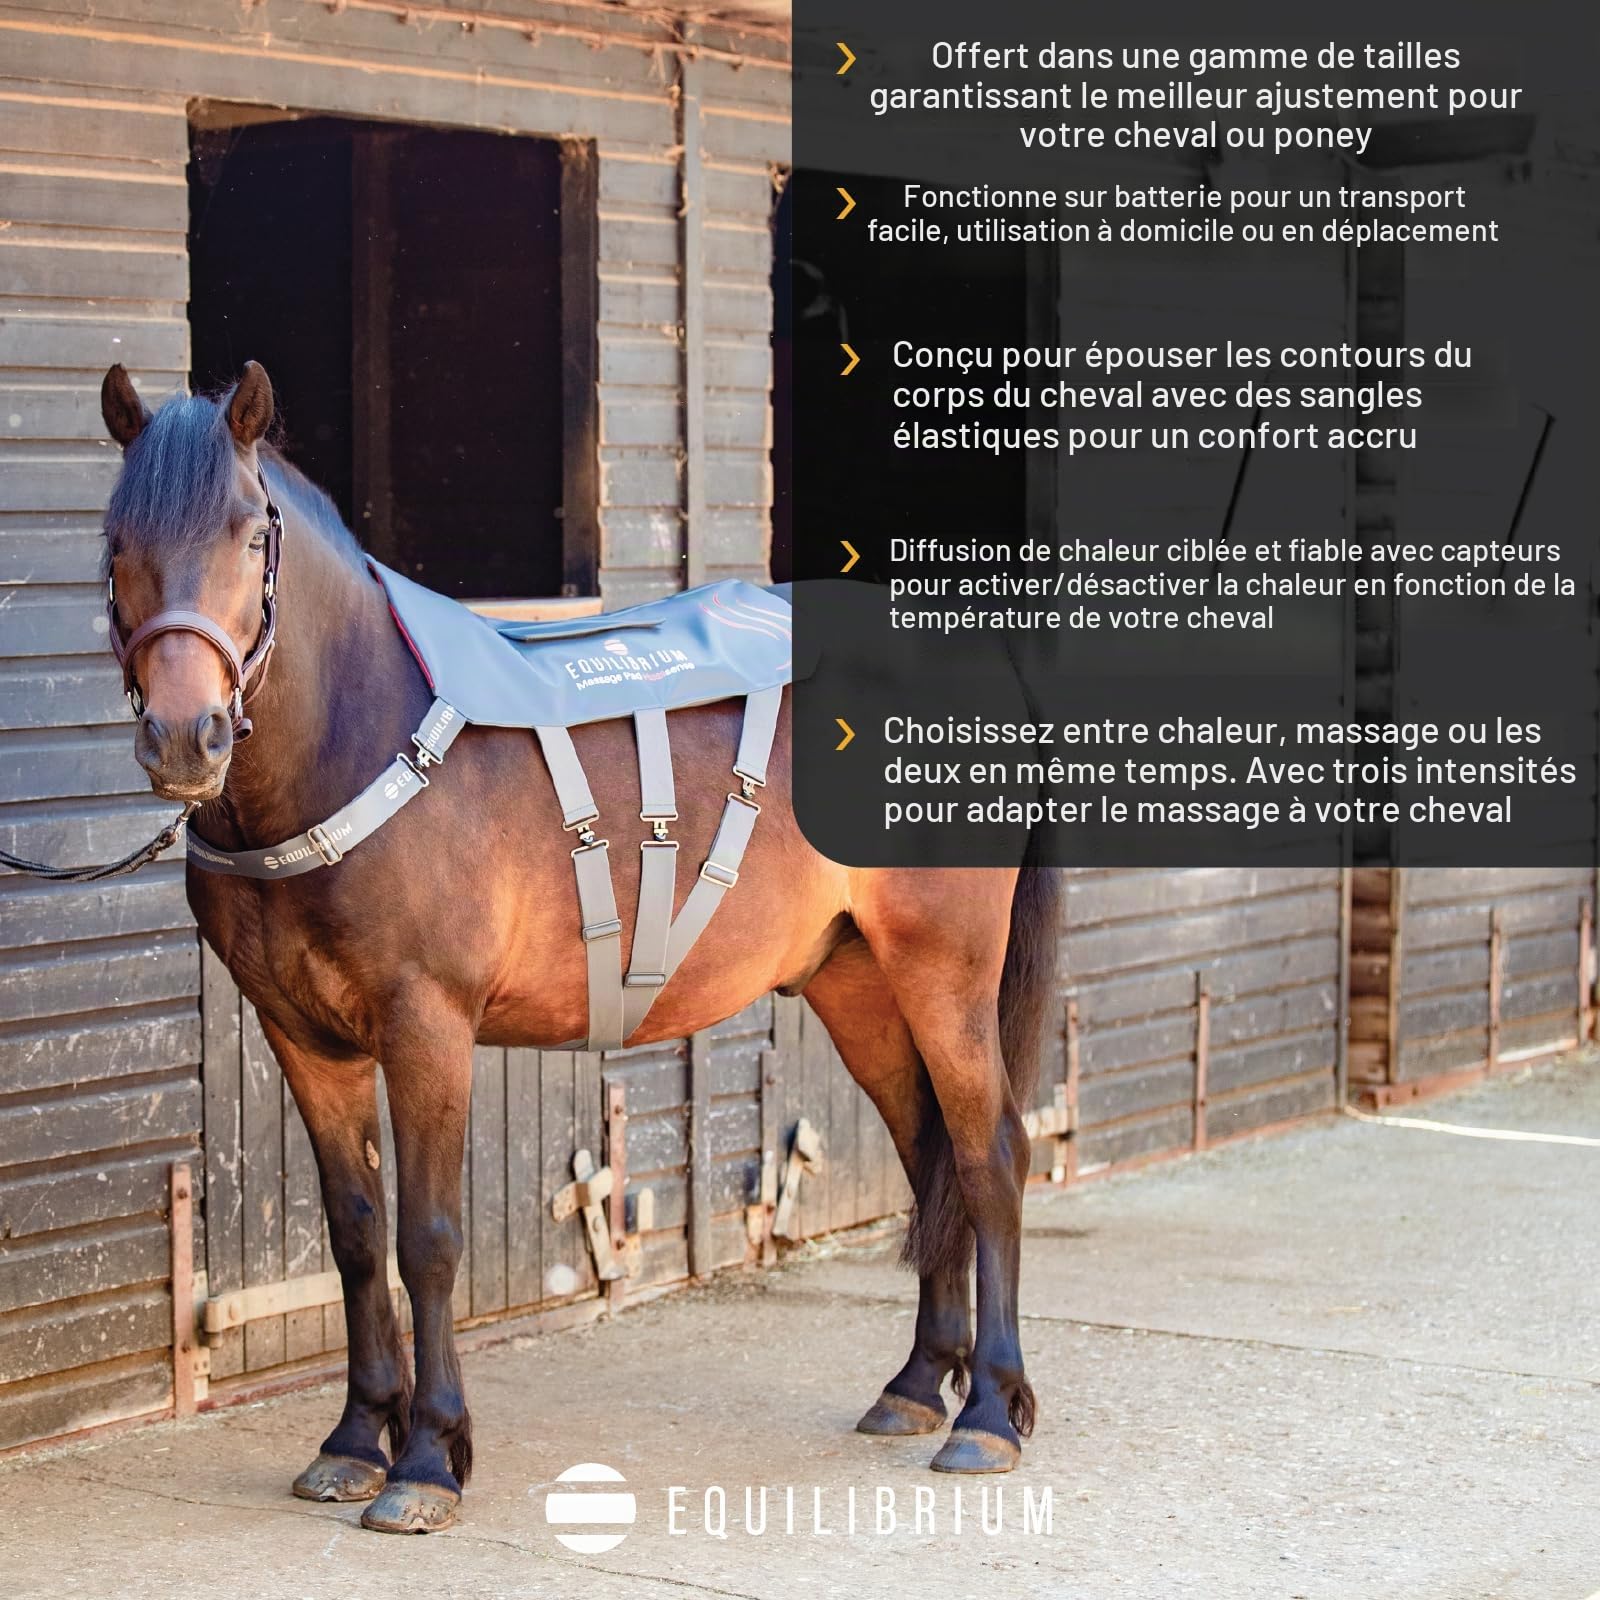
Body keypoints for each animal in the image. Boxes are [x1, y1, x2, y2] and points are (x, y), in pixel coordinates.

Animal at [96, 360, 1060, 1533]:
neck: (358, 736)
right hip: (856, 978)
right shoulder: (303, 1038)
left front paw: (428, 1458)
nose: (185, 740)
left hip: (943, 968)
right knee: (931, 1157)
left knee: (991, 1151)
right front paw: (355, 1438)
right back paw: (920, 1383)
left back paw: (989, 1414)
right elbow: (357, 1233)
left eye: (247, 534)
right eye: (116, 539)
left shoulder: (427, 1026)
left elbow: (429, 1238)